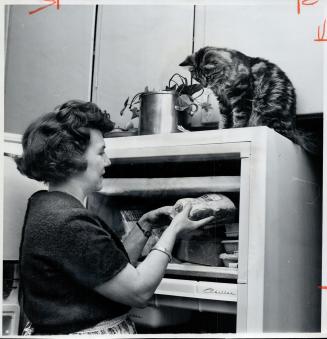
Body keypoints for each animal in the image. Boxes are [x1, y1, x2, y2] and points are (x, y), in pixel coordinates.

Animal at [181, 46, 316, 154]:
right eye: (197, 78)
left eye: (208, 76)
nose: (205, 85)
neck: (222, 84)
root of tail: (293, 129)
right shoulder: (224, 102)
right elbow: (225, 119)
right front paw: (223, 130)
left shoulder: (241, 95)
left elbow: (239, 116)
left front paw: (236, 129)